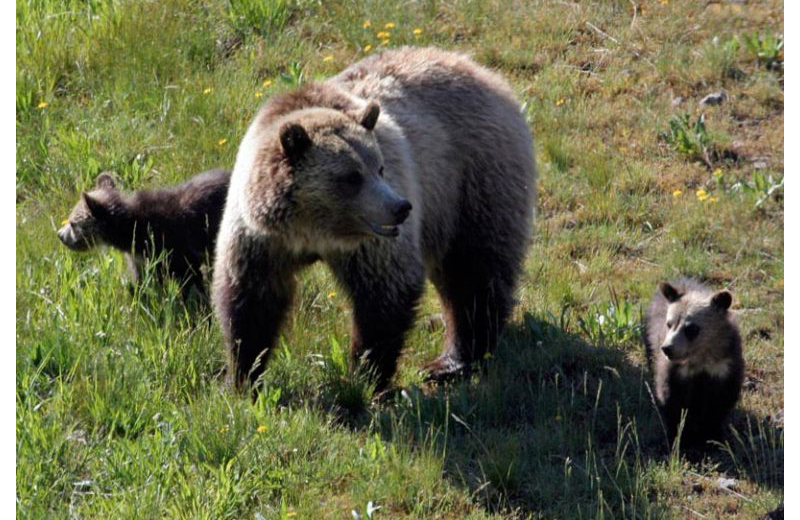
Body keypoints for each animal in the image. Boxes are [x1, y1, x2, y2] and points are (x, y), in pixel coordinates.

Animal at [216, 47, 536, 390]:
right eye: (351, 177)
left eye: (379, 167)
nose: (401, 207)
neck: (313, 231)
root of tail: (479, 69)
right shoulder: (260, 238)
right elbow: (251, 299)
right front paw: (244, 376)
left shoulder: (371, 244)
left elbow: (385, 292)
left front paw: (365, 376)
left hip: (472, 179)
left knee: (472, 271)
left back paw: (452, 361)